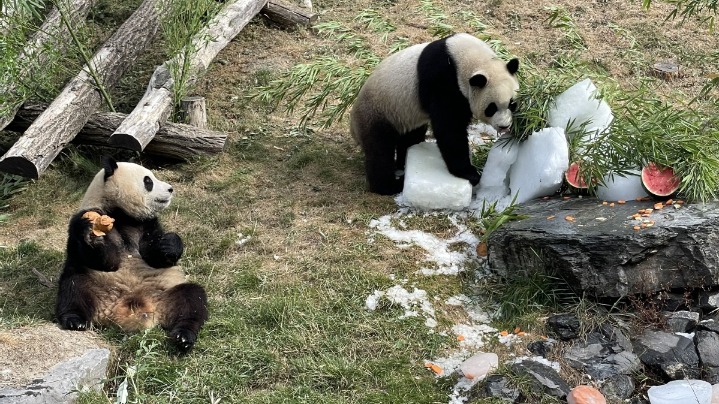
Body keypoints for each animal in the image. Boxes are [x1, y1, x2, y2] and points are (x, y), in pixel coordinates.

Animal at [55, 156, 208, 353]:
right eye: (148, 181)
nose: (170, 189)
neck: (121, 214)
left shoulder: (147, 224)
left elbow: (155, 257)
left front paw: (169, 243)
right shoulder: (84, 217)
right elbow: (106, 261)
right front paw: (93, 237)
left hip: (165, 293)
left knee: (192, 299)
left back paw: (183, 336)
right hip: (96, 287)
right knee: (74, 287)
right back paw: (75, 320)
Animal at [349, 33, 520, 195]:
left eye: (512, 104)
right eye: (491, 108)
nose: (504, 126)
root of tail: (353, 126)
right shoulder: (443, 81)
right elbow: (449, 128)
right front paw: (470, 173)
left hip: (405, 115)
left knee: (410, 137)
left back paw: (403, 162)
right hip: (378, 112)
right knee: (380, 151)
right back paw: (390, 185)